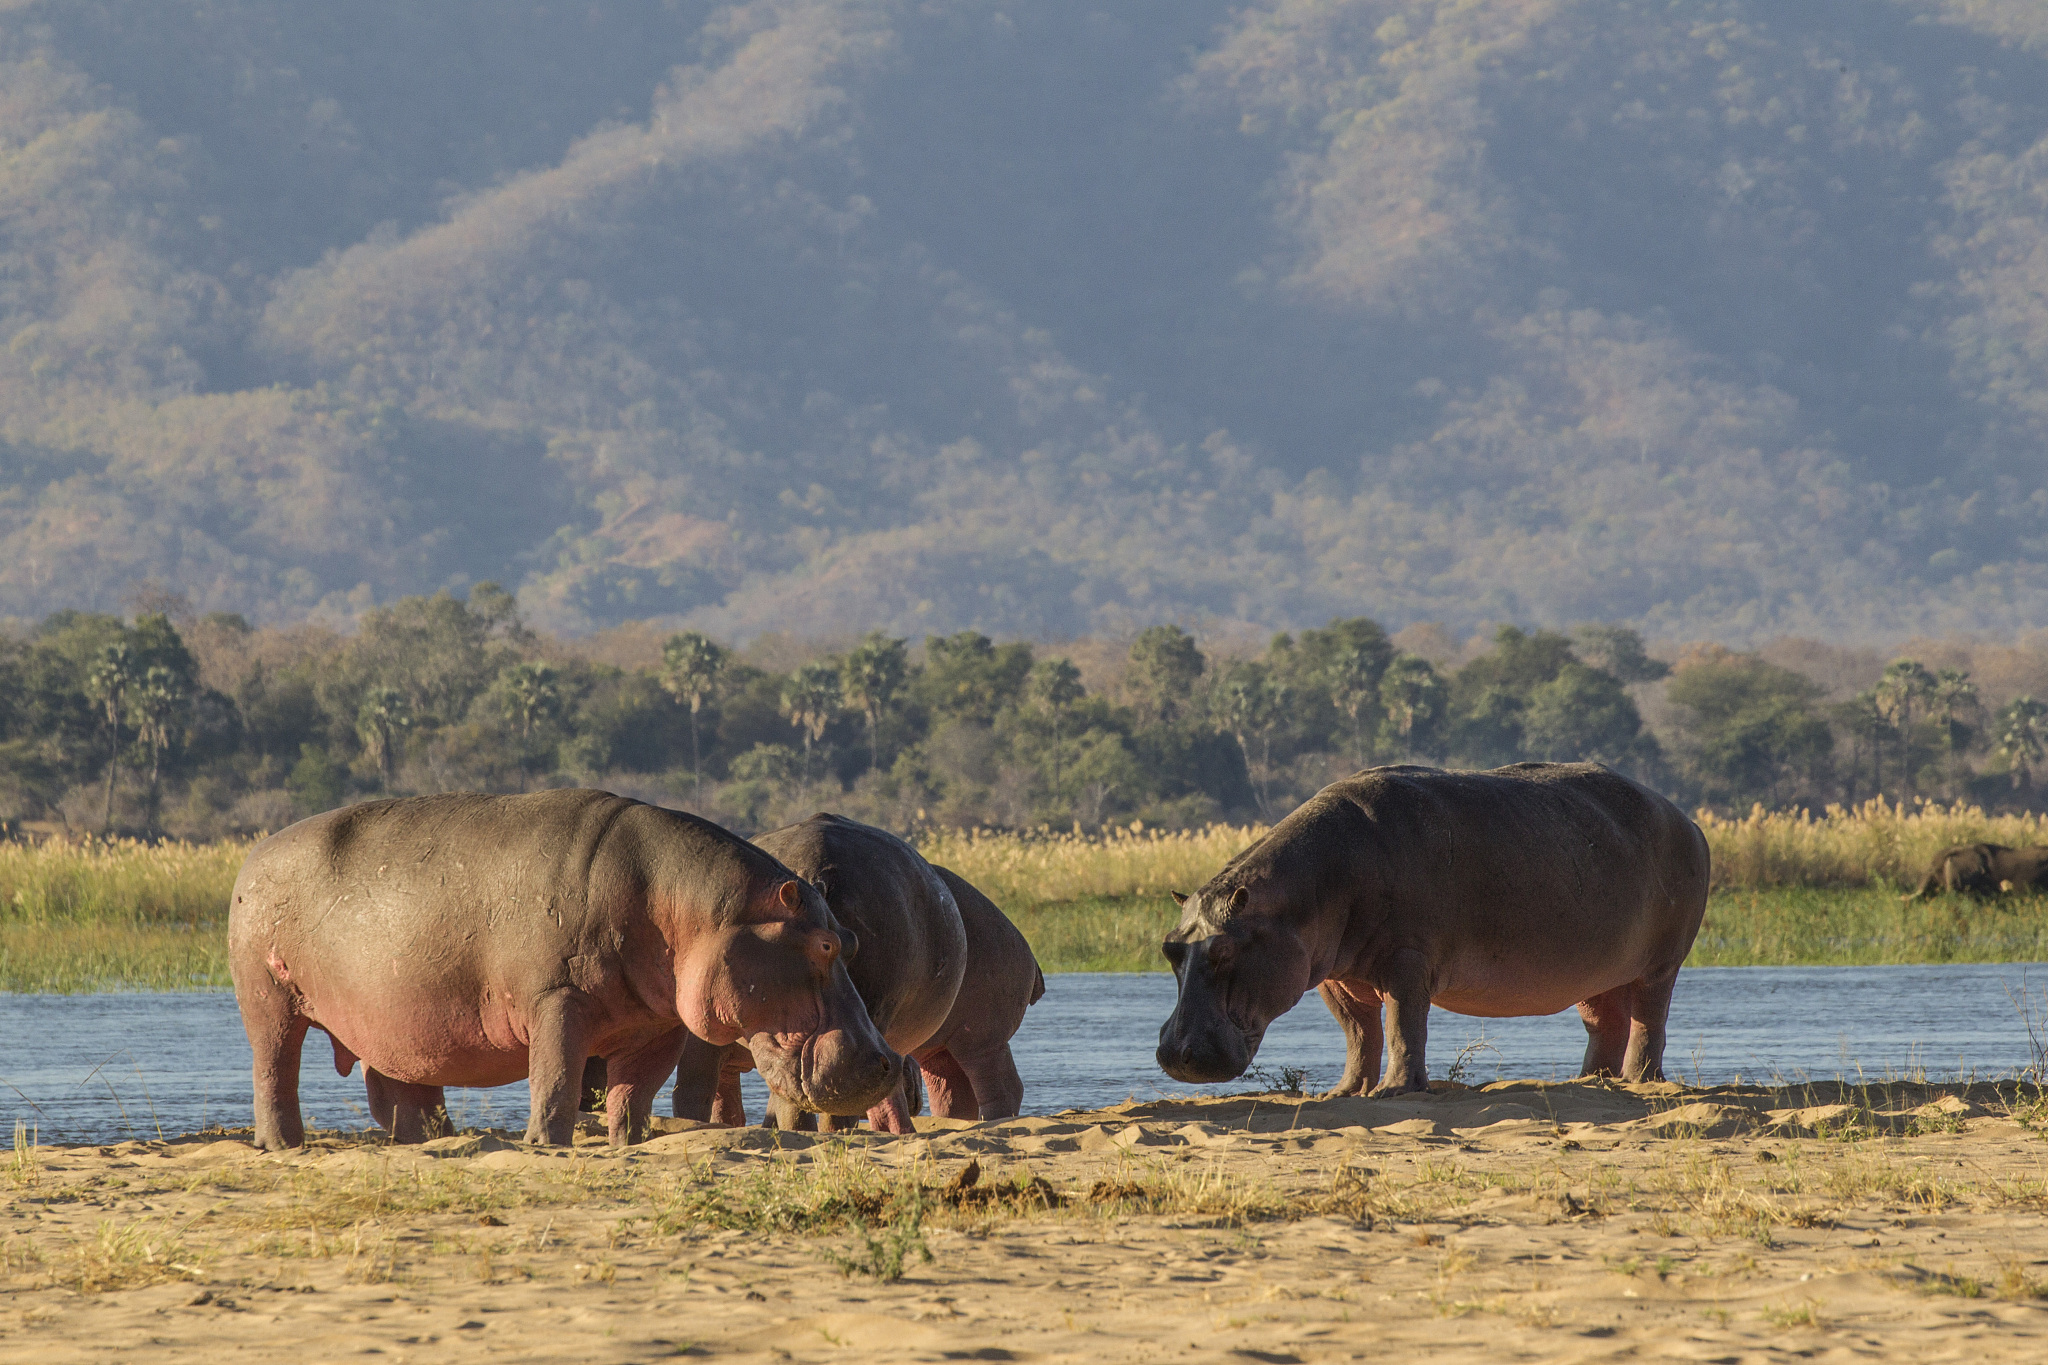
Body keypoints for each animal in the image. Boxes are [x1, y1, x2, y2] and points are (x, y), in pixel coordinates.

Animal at [228, 790, 898, 1150]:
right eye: (825, 946)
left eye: (851, 939)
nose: (885, 1060)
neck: (693, 909)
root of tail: (254, 855)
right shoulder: (557, 999)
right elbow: (553, 1077)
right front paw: (545, 1145)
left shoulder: (658, 1025)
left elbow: (633, 1094)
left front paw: (630, 1145)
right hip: (269, 1002)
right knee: (274, 1071)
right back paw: (282, 1145)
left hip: (395, 1024)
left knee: (403, 1093)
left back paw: (430, 1142)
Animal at [1157, 763, 1709, 1096]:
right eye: (1169, 950)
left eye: (1225, 953)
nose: (1179, 1055)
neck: (1306, 888)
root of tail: (1687, 818)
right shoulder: (1334, 976)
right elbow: (1359, 1033)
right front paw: (1347, 1091)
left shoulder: (1407, 960)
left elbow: (1404, 1025)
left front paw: (1395, 1091)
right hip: (1598, 969)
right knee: (1605, 1021)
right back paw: (1587, 1083)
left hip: (1662, 964)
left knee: (1649, 1020)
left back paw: (1641, 1082)